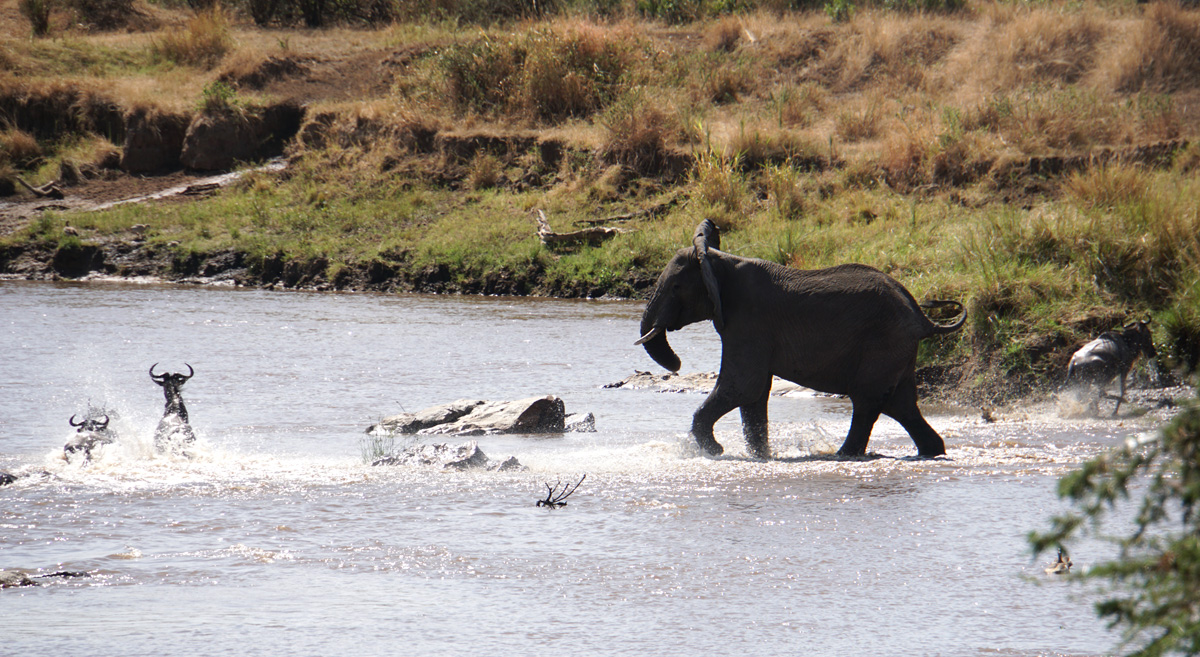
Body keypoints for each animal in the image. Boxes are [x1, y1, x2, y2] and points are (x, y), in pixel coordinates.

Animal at [636, 219, 966, 459]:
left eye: (676, 286)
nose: (677, 363)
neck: (716, 260)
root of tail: (922, 317)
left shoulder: (748, 322)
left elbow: (743, 385)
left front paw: (716, 451)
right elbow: (754, 394)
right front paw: (761, 457)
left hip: (883, 344)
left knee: (868, 402)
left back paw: (842, 456)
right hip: (897, 350)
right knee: (901, 404)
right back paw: (931, 452)